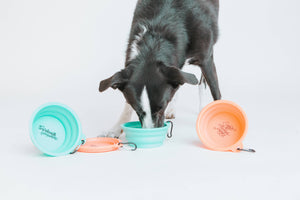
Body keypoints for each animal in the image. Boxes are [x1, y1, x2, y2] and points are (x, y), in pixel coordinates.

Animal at [98, 0, 220, 137]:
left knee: (201, 81)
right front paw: (116, 128)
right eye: (137, 109)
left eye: (161, 107)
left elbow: (215, 91)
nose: (150, 133)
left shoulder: (206, 59)